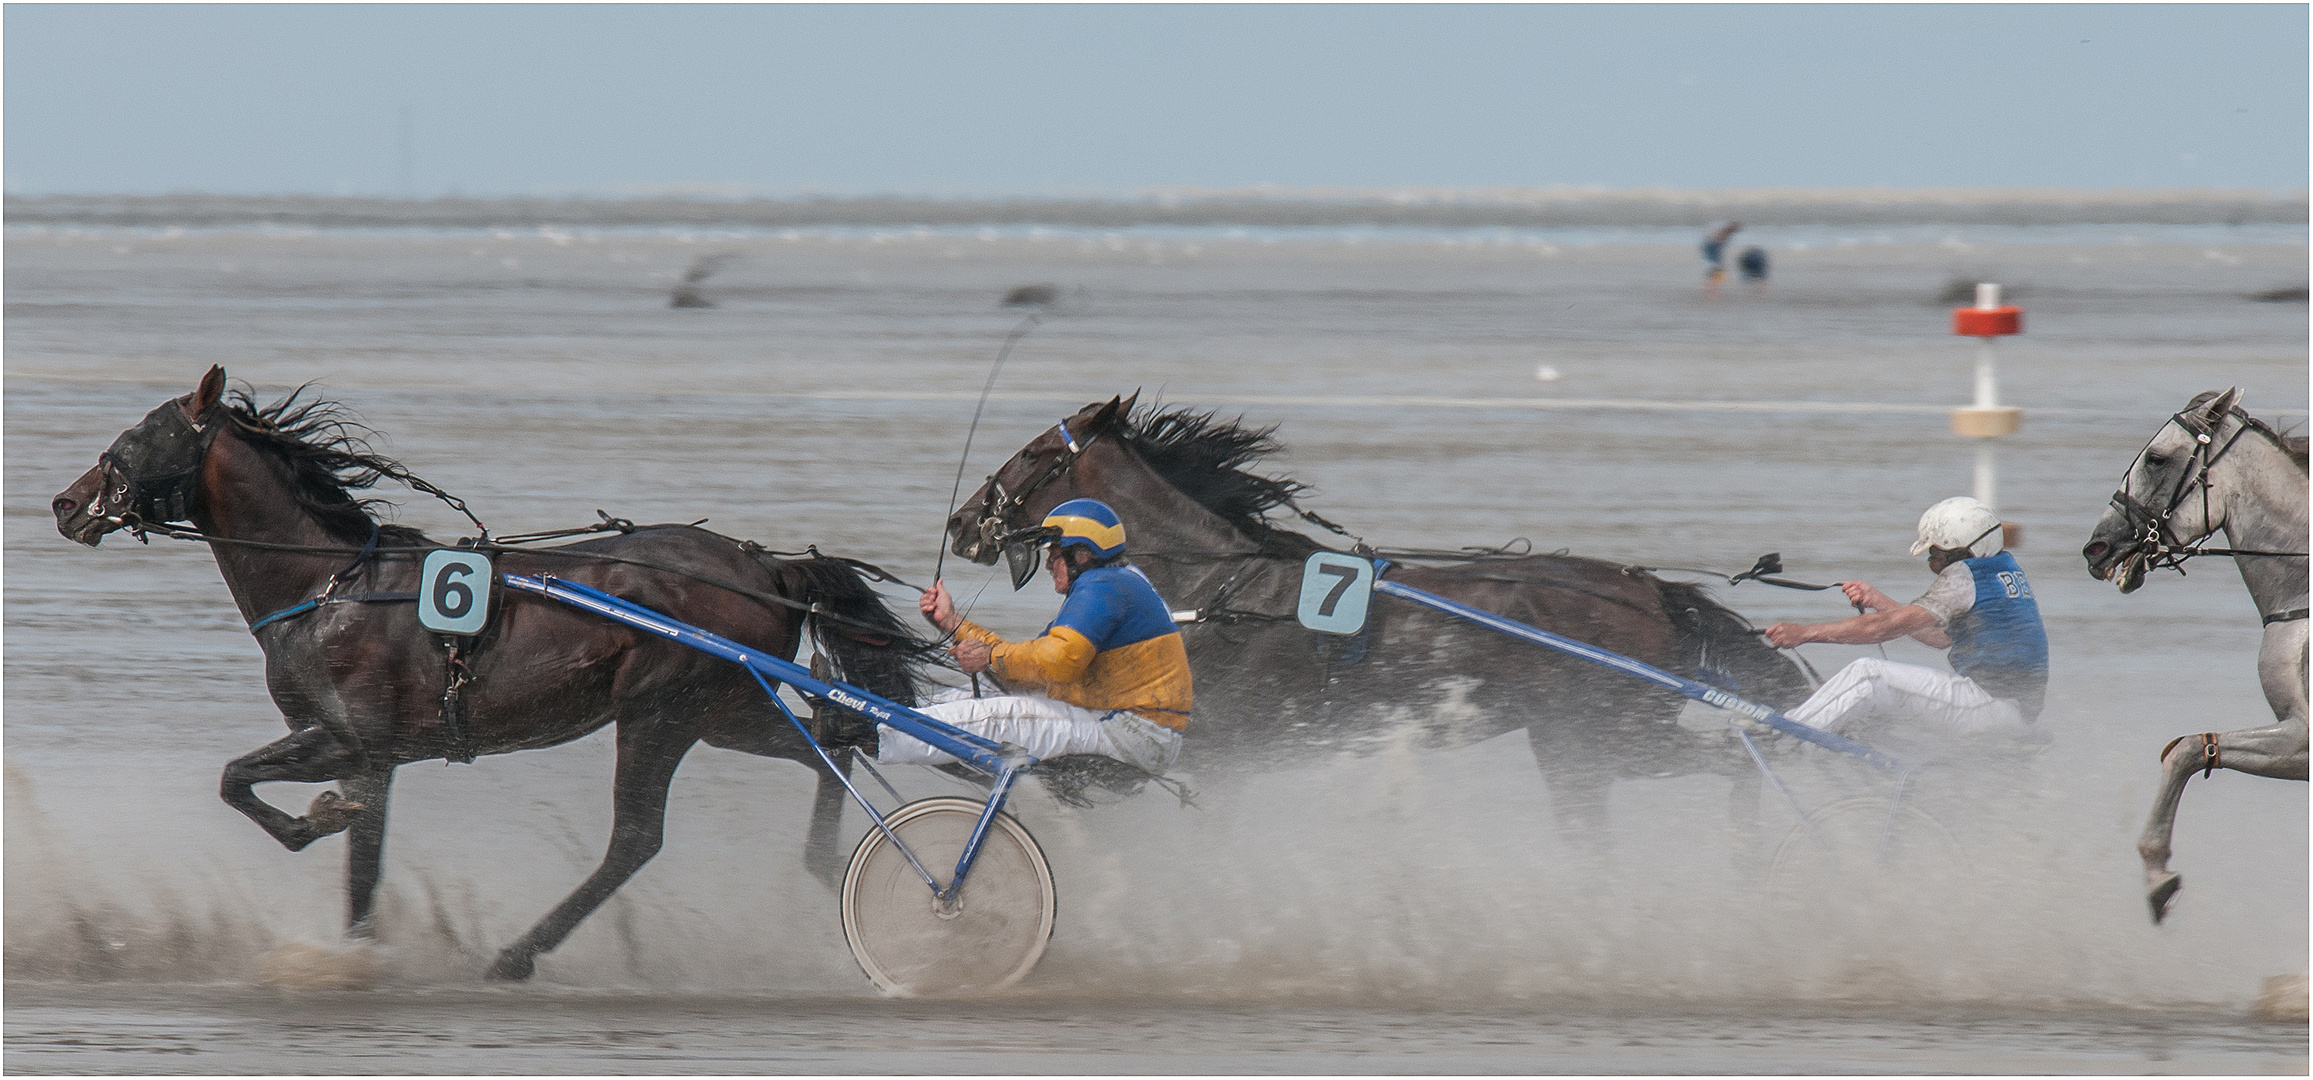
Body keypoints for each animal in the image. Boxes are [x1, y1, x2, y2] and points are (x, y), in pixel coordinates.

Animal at [54, 367, 925, 985]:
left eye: (135, 437)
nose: (66, 503)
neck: (329, 584)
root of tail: (765, 568)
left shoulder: (348, 738)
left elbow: (240, 780)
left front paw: (318, 820)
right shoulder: (378, 756)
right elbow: (360, 868)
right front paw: (356, 947)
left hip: (662, 712)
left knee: (637, 839)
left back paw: (517, 953)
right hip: (728, 710)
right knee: (834, 740)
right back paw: (825, 861)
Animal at [948, 397, 1813, 860]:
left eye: (1033, 452)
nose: (961, 520)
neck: (1220, 585)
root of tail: (1651, 592)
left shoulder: (1224, 753)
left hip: (1600, 738)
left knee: (1736, 761)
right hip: (1587, 747)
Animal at [2090, 393, 2303, 925]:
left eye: (2156, 458)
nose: (2095, 546)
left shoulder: (2302, 735)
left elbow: (2185, 750)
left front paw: (2156, 873)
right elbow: (2187, 747)